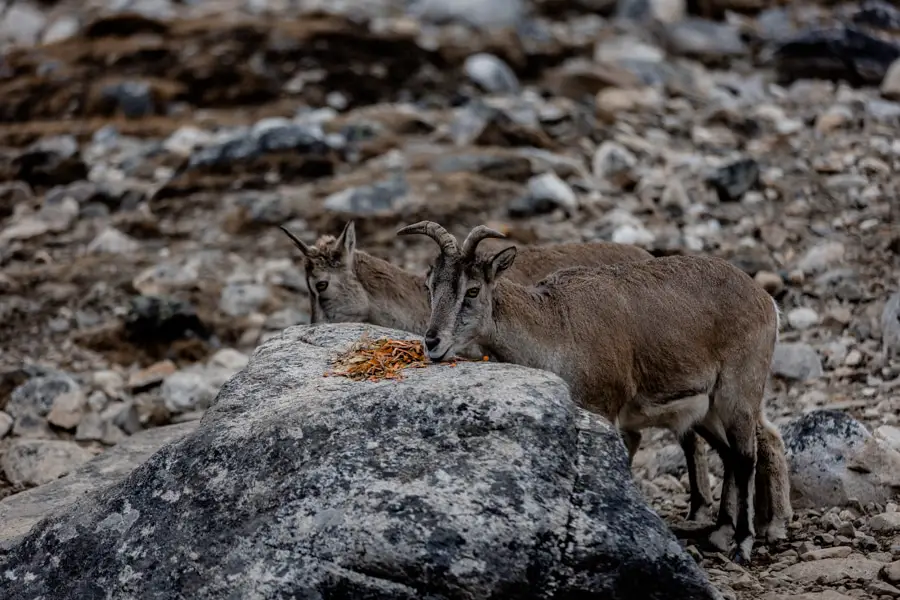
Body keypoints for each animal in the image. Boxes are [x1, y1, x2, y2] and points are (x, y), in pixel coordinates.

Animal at [398, 219, 792, 564]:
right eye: (431, 286)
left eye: (473, 290)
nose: (432, 343)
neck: (557, 326)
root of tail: (765, 301)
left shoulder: (607, 408)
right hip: (706, 409)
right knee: (728, 454)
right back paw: (722, 532)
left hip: (738, 393)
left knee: (745, 456)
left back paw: (745, 542)